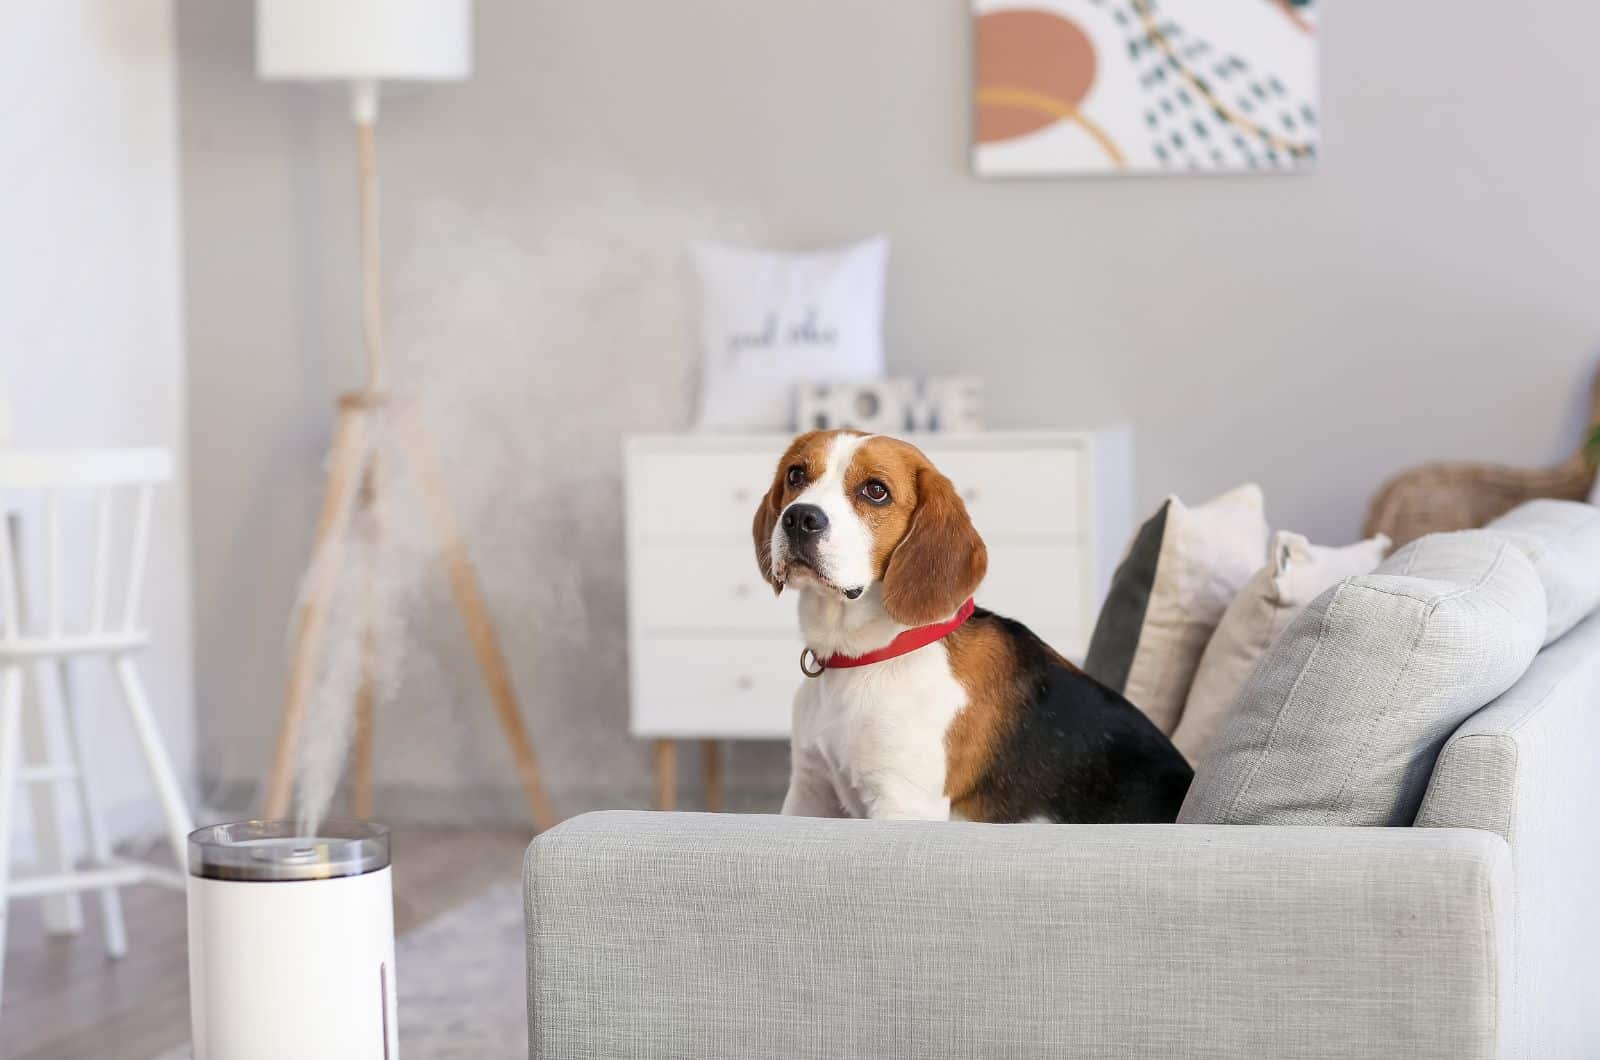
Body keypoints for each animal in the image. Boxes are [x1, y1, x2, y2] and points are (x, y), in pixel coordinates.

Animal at [755, 429, 1196, 819]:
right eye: (796, 475)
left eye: (875, 491)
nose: (799, 518)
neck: (864, 658)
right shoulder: (810, 792)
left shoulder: (904, 802)